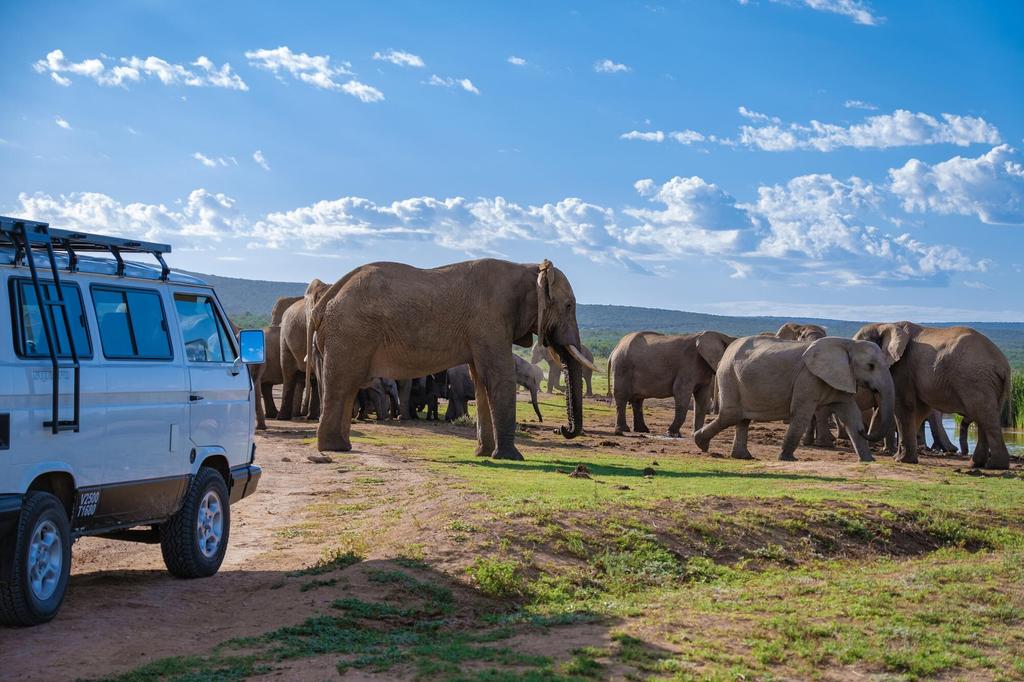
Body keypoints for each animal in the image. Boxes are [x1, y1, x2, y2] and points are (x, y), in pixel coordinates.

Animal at [307, 259, 595, 458]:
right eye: (569, 306)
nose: (561, 429)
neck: (527, 268)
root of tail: (326, 298)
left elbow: (481, 382)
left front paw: (484, 455)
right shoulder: (490, 320)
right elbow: (499, 377)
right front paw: (512, 458)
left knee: (347, 387)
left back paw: (341, 447)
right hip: (350, 334)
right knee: (342, 384)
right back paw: (334, 448)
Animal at [694, 336, 895, 462]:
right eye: (870, 365)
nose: (864, 431)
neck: (848, 343)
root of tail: (728, 350)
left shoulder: (842, 377)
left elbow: (851, 415)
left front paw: (869, 460)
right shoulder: (808, 378)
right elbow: (801, 414)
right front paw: (787, 459)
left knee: (742, 418)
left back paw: (742, 456)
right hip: (728, 375)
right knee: (732, 415)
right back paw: (700, 443)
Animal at [853, 322, 1011, 468]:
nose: (861, 431)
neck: (885, 324)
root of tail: (1003, 365)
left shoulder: (902, 367)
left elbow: (904, 407)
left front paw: (901, 460)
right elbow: (919, 411)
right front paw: (902, 458)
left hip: (975, 380)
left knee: (984, 416)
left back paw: (994, 465)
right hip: (988, 384)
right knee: (985, 417)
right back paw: (977, 464)